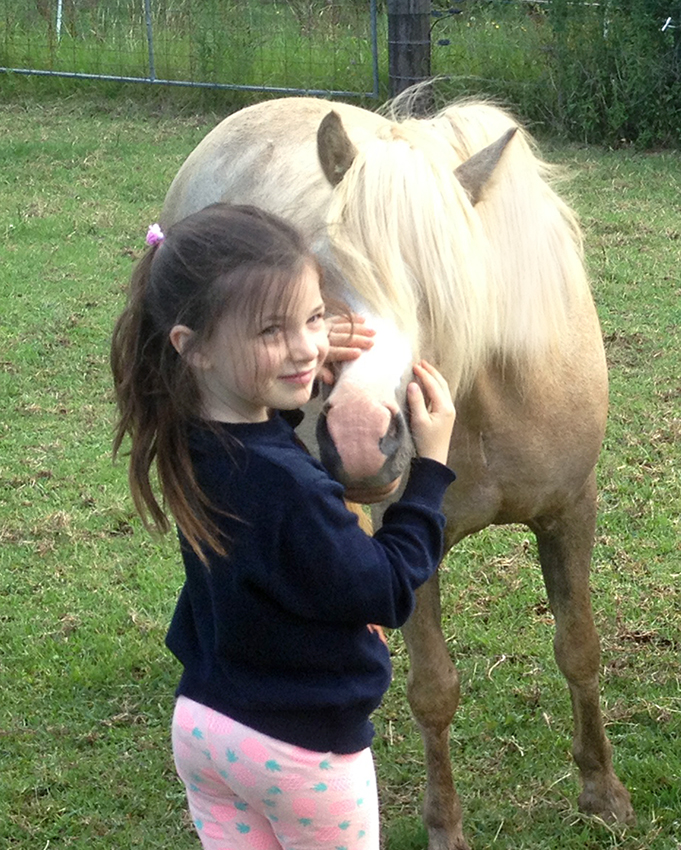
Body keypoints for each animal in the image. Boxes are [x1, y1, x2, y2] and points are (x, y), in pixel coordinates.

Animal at [160, 95, 634, 849]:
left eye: (445, 284)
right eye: (322, 272)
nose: (358, 436)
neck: (491, 399)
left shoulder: (568, 513)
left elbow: (580, 649)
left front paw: (602, 792)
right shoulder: (415, 551)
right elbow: (434, 691)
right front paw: (445, 825)